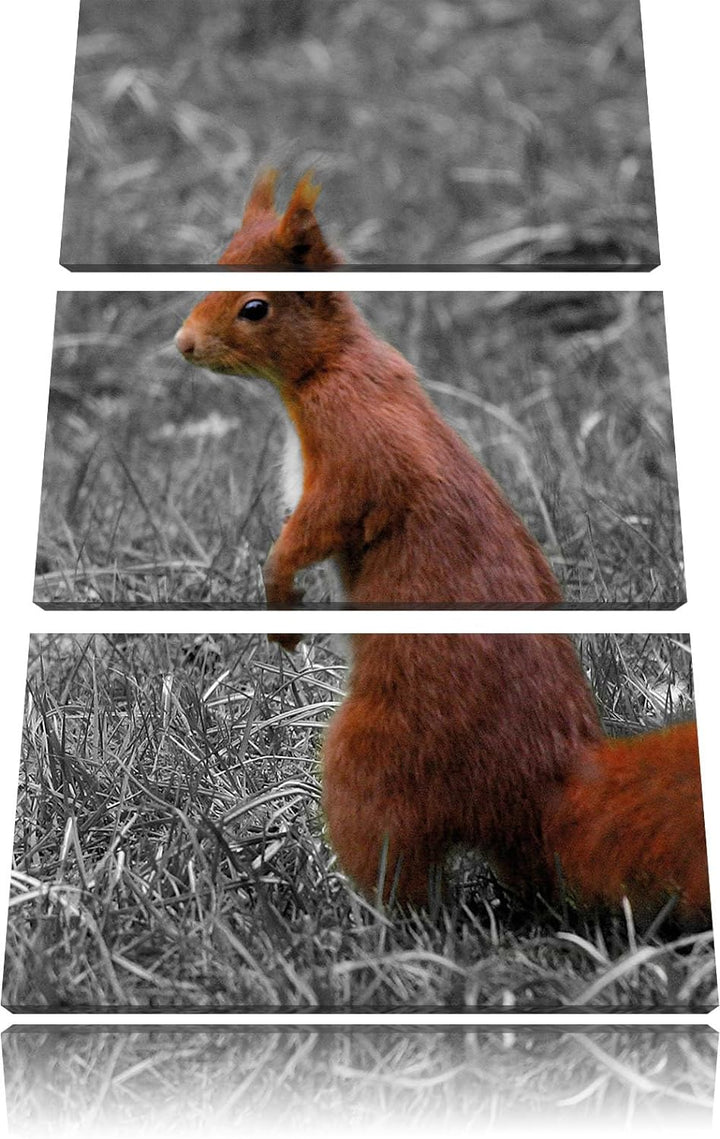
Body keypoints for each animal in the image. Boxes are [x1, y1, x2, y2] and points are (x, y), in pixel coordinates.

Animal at [175, 171, 710, 929]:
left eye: (256, 307)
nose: (183, 344)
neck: (331, 365)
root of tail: (544, 787)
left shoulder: (357, 449)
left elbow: (324, 521)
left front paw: (278, 595)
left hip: (378, 761)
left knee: (399, 867)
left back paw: (363, 919)